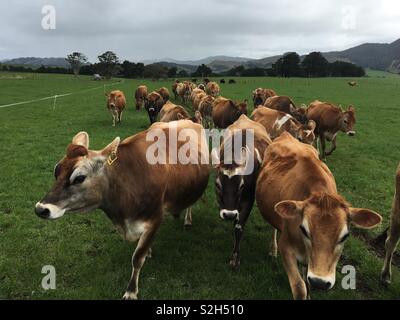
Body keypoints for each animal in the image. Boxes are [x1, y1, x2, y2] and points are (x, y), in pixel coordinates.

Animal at [34, 123, 211, 300]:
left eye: (79, 178)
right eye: (56, 172)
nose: (40, 209)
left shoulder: (155, 218)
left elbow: (137, 257)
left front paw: (131, 290)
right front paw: (149, 251)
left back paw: (188, 220)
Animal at [211, 114, 274, 268]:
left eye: (241, 186)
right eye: (217, 185)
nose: (229, 215)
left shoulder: (249, 198)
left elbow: (239, 227)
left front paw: (235, 258)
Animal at [255, 132, 382, 300]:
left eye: (345, 236)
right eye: (303, 229)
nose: (319, 282)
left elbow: (306, 279)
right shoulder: (286, 247)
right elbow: (300, 287)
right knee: (273, 228)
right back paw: (272, 250)